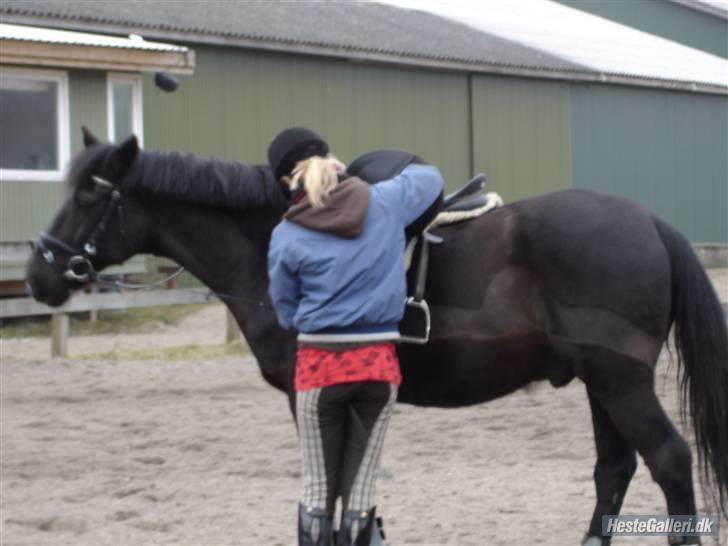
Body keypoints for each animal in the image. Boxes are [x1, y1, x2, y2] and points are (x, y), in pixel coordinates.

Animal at [24, 132, 728, 544]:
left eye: (89, 197)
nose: (38, 275)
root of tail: (649, 221)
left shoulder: (310, 396)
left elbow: (330, 490)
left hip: (620, 381)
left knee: (669, 461)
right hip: (598, 383)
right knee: (615, 468)